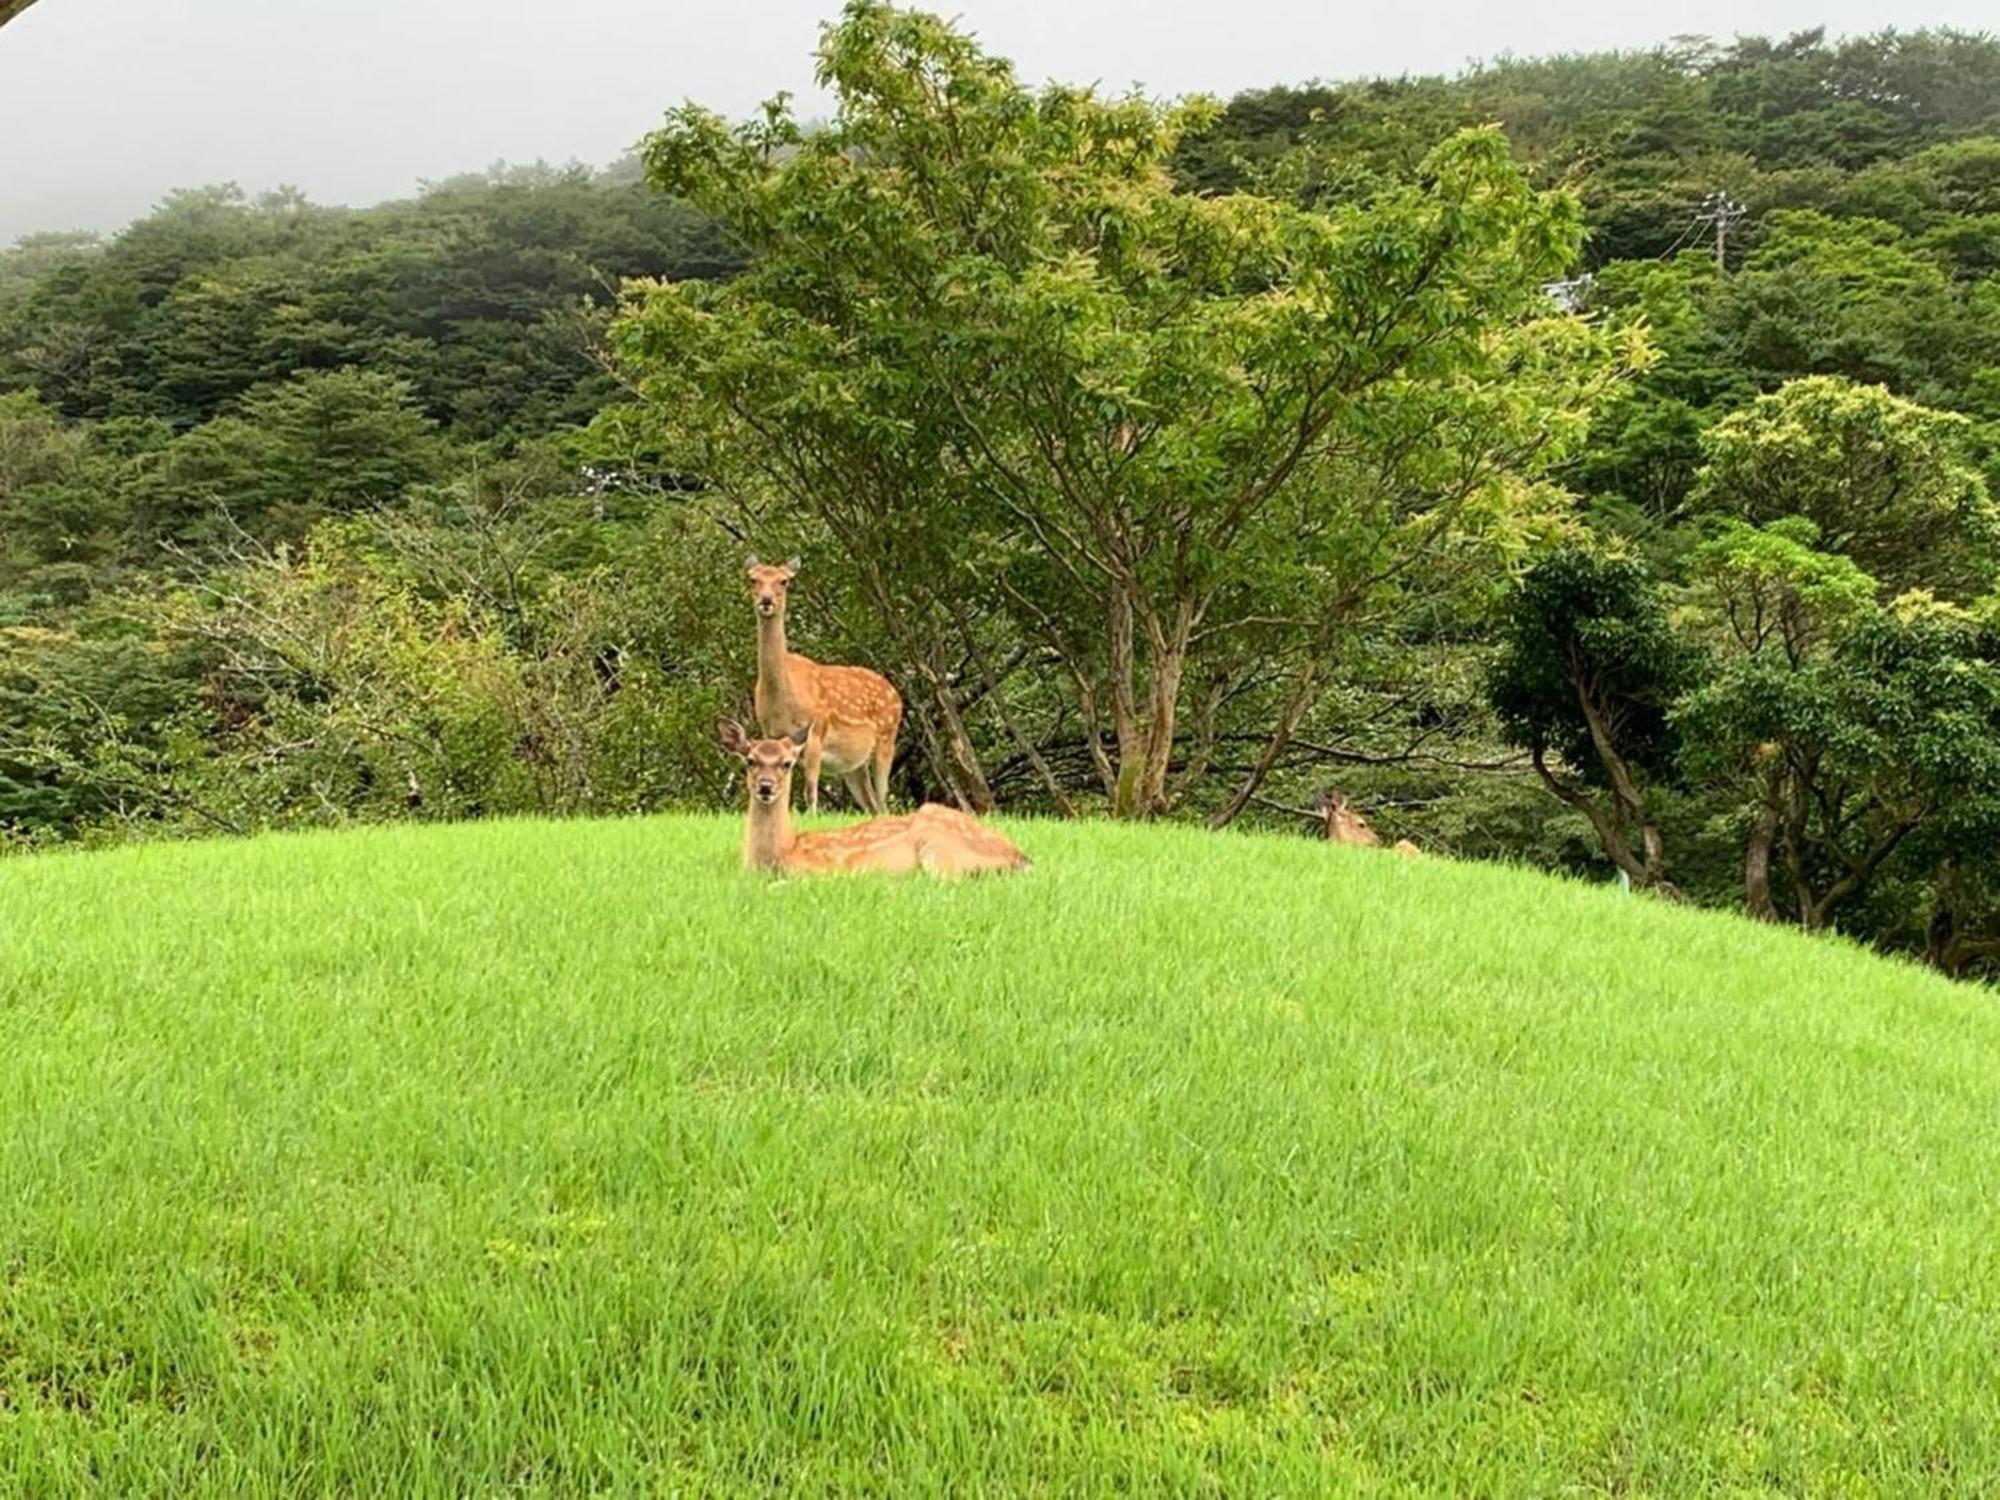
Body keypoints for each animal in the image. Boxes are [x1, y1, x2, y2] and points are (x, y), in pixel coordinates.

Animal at [720, 720, 1032, 880]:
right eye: (750, 760)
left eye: (787, 763)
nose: (765, 786)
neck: (782, 852)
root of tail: (1021, 857)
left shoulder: (818, 872)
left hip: (939, 847)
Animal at [748, 556, 904, 816]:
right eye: (753, 579)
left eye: (784, 581)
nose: (766, 600)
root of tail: (898, 696)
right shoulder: (769, 732)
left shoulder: (816, 731)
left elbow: (810, 790)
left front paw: (811, 817)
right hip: (853, 764)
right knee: (871, 802)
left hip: (887, 736)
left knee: (882, 799)